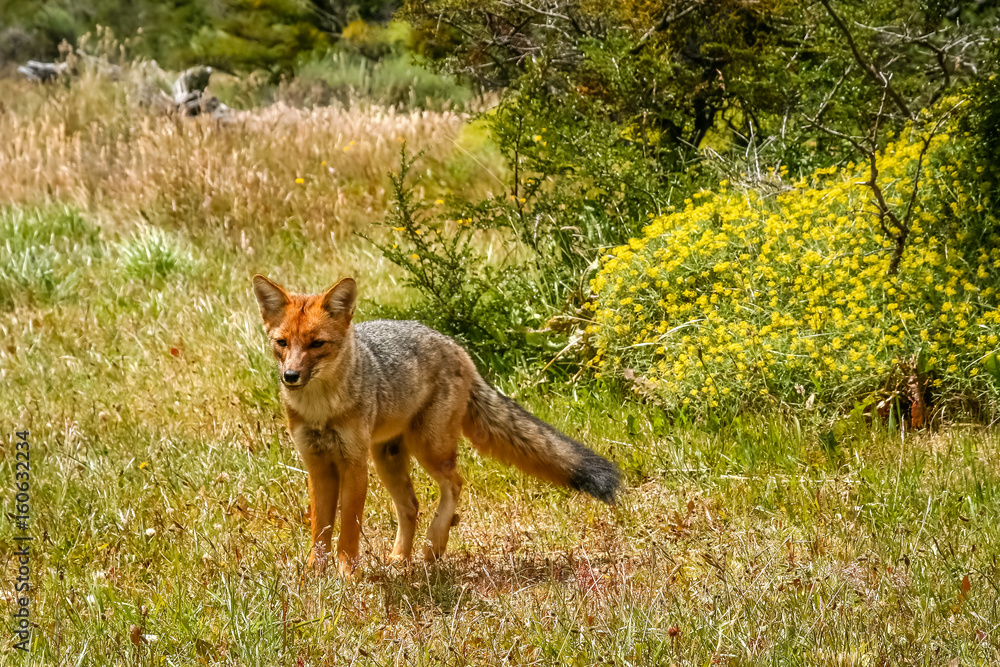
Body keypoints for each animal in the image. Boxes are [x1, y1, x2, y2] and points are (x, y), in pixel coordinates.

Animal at [252, 274, 621, 575]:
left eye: (317, 344)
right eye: (282, 343)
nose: (290, 376)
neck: (321, 410)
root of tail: (456, 346)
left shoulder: (353, 465)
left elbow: (348, 529)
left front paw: (346, 574)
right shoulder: (317, 466)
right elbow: (320, 530)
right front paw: (314, 575)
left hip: (427, 449)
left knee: (455, 484)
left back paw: (434, 545)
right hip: (387, 459)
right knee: (411, 506)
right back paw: (400, 558)